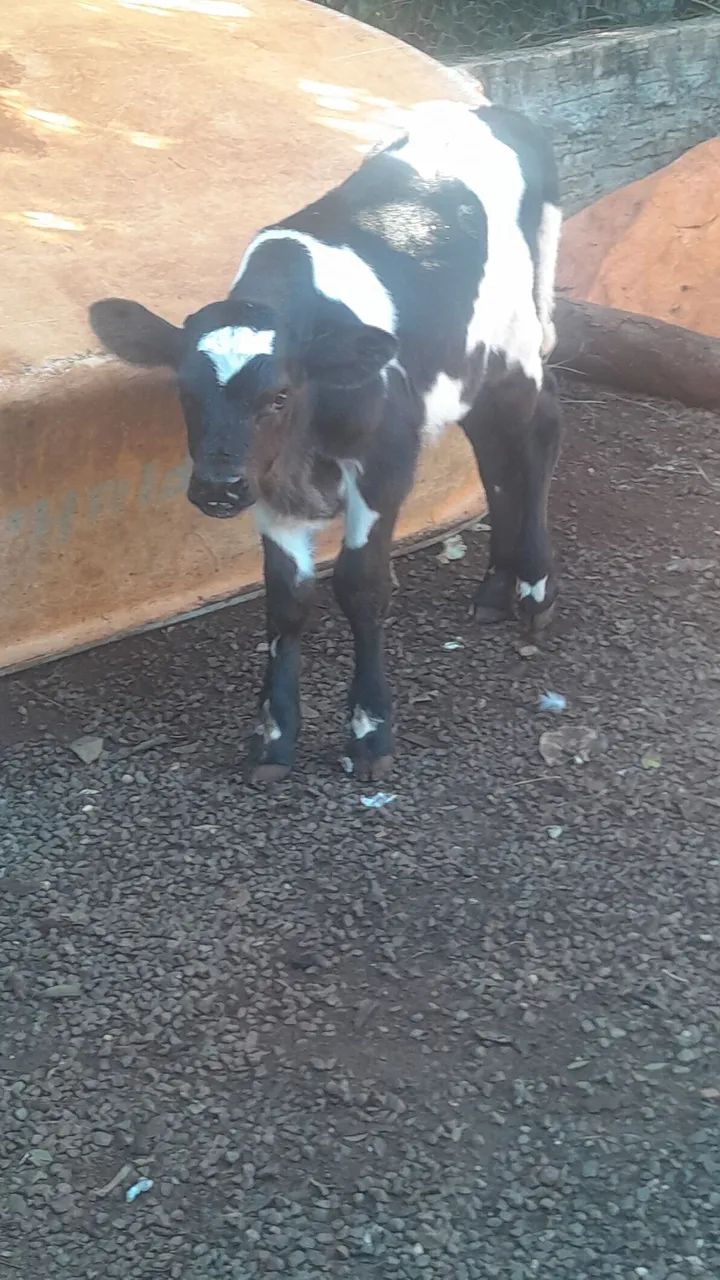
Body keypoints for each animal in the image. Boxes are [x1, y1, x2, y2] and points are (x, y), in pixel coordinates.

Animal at [89, 100, 563, 784]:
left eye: (279, 395)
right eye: (184, 391)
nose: (216, 485)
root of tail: (497, 111)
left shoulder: (384, 465)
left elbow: (361, 587)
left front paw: (369, 730)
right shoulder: (266, 486)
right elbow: (287, 601)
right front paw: (273, 736)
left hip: (518, 345)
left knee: (537, 434)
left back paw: (535, 588)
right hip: (469, 367)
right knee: (495, 452)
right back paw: (497, 588)